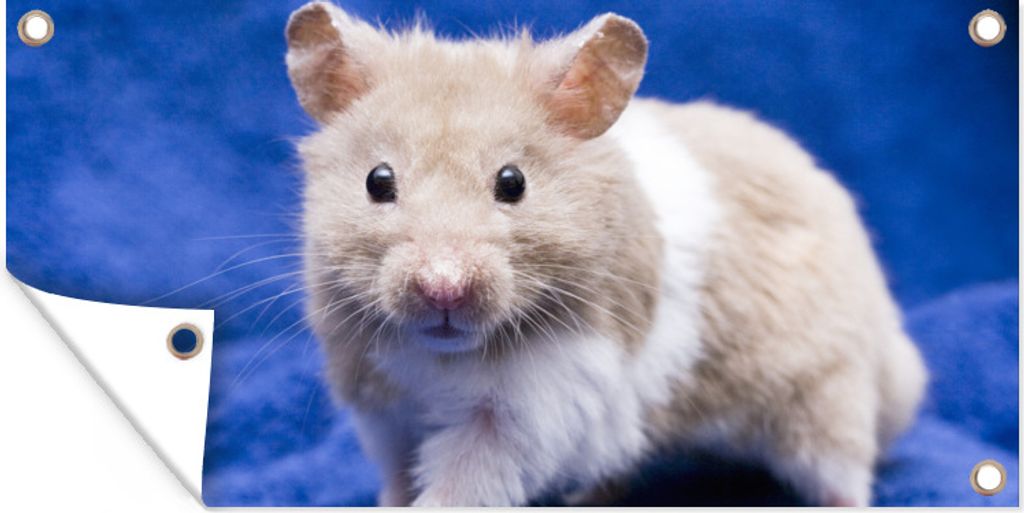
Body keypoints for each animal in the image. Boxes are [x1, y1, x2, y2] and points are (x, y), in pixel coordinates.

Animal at [285, 2, 927, 507]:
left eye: (513, 182)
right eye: (378, 181)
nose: (443, 288)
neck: (442, 357)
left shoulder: (526, 414)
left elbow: (462, 484)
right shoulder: (382, 405)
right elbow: (398, 477)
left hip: (826, 391)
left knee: (843, 466)